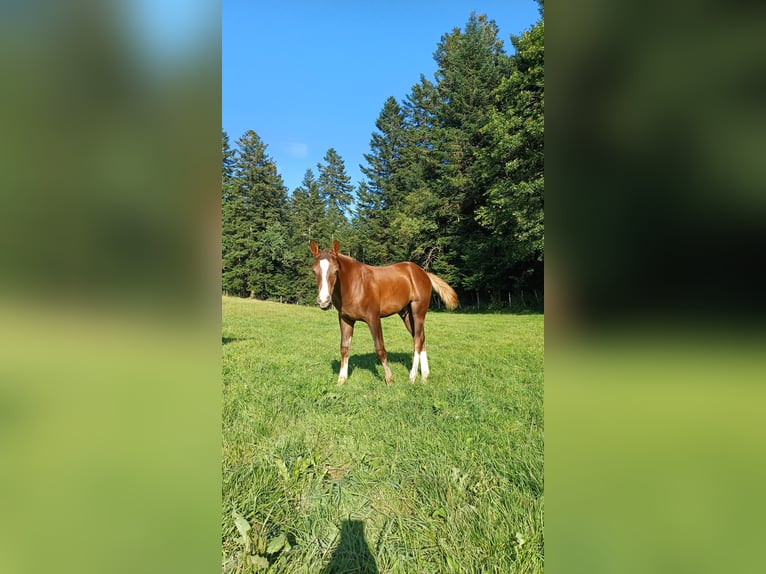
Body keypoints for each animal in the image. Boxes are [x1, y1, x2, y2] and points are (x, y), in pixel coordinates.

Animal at [308, 240, 460, 388]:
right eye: (314, 271)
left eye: (336, 270)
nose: (323, 301)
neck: (355, 285)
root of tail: (424, 273)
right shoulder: (346, 319)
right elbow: (344, 348)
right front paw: (341, 380)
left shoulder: (373, 318)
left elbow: (380, 348)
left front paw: (389, 379)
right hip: (406, 314)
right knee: (421, 338)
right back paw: (424, 377)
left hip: (418, 311)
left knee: (417, 340)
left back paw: (412, 377)